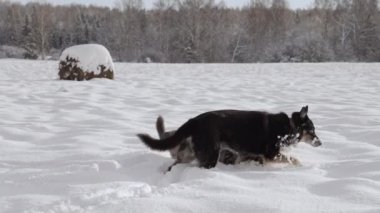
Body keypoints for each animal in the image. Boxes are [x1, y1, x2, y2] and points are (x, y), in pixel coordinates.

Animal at [138, 105, 322, 169]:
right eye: (312, 130)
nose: (320, 143)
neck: (289, 127)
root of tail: (194, 121)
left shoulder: (247, 155)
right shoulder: (271, 154)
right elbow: (294, 159)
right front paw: (301, 166)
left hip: (191, 153)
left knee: (174, 166)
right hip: (210, 155)